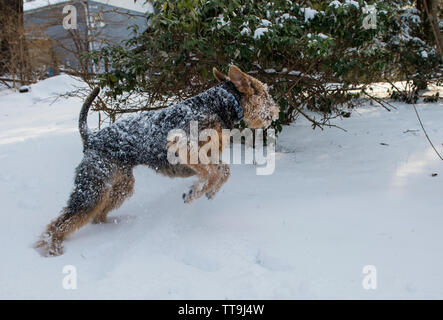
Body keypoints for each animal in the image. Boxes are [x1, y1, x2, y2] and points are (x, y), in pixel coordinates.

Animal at [35, 65, 278, 258]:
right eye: (263, 92)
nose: (275, 110)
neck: (221, 104)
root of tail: (90, 138)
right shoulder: (184, 147)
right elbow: (215, 173)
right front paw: (194, 193)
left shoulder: (209, 156)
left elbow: (223, 172)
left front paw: (208, 192)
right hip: (93, 187)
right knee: (64, 220)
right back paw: (51, 246)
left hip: (121, 185)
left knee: (97, 214)